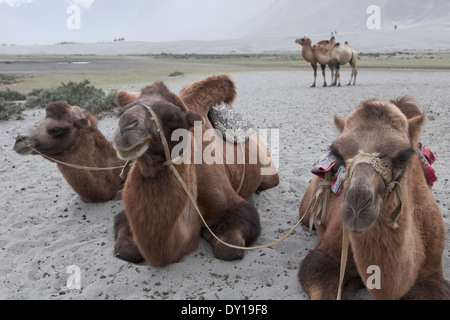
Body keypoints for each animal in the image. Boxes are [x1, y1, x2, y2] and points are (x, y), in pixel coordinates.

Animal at [112, 75, 280, 268]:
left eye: (172, 117)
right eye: (120, 112)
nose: (126, 125)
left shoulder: (229, 201)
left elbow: (230, 248)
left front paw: (209, 234)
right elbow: (125, 249)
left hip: (269, 170)